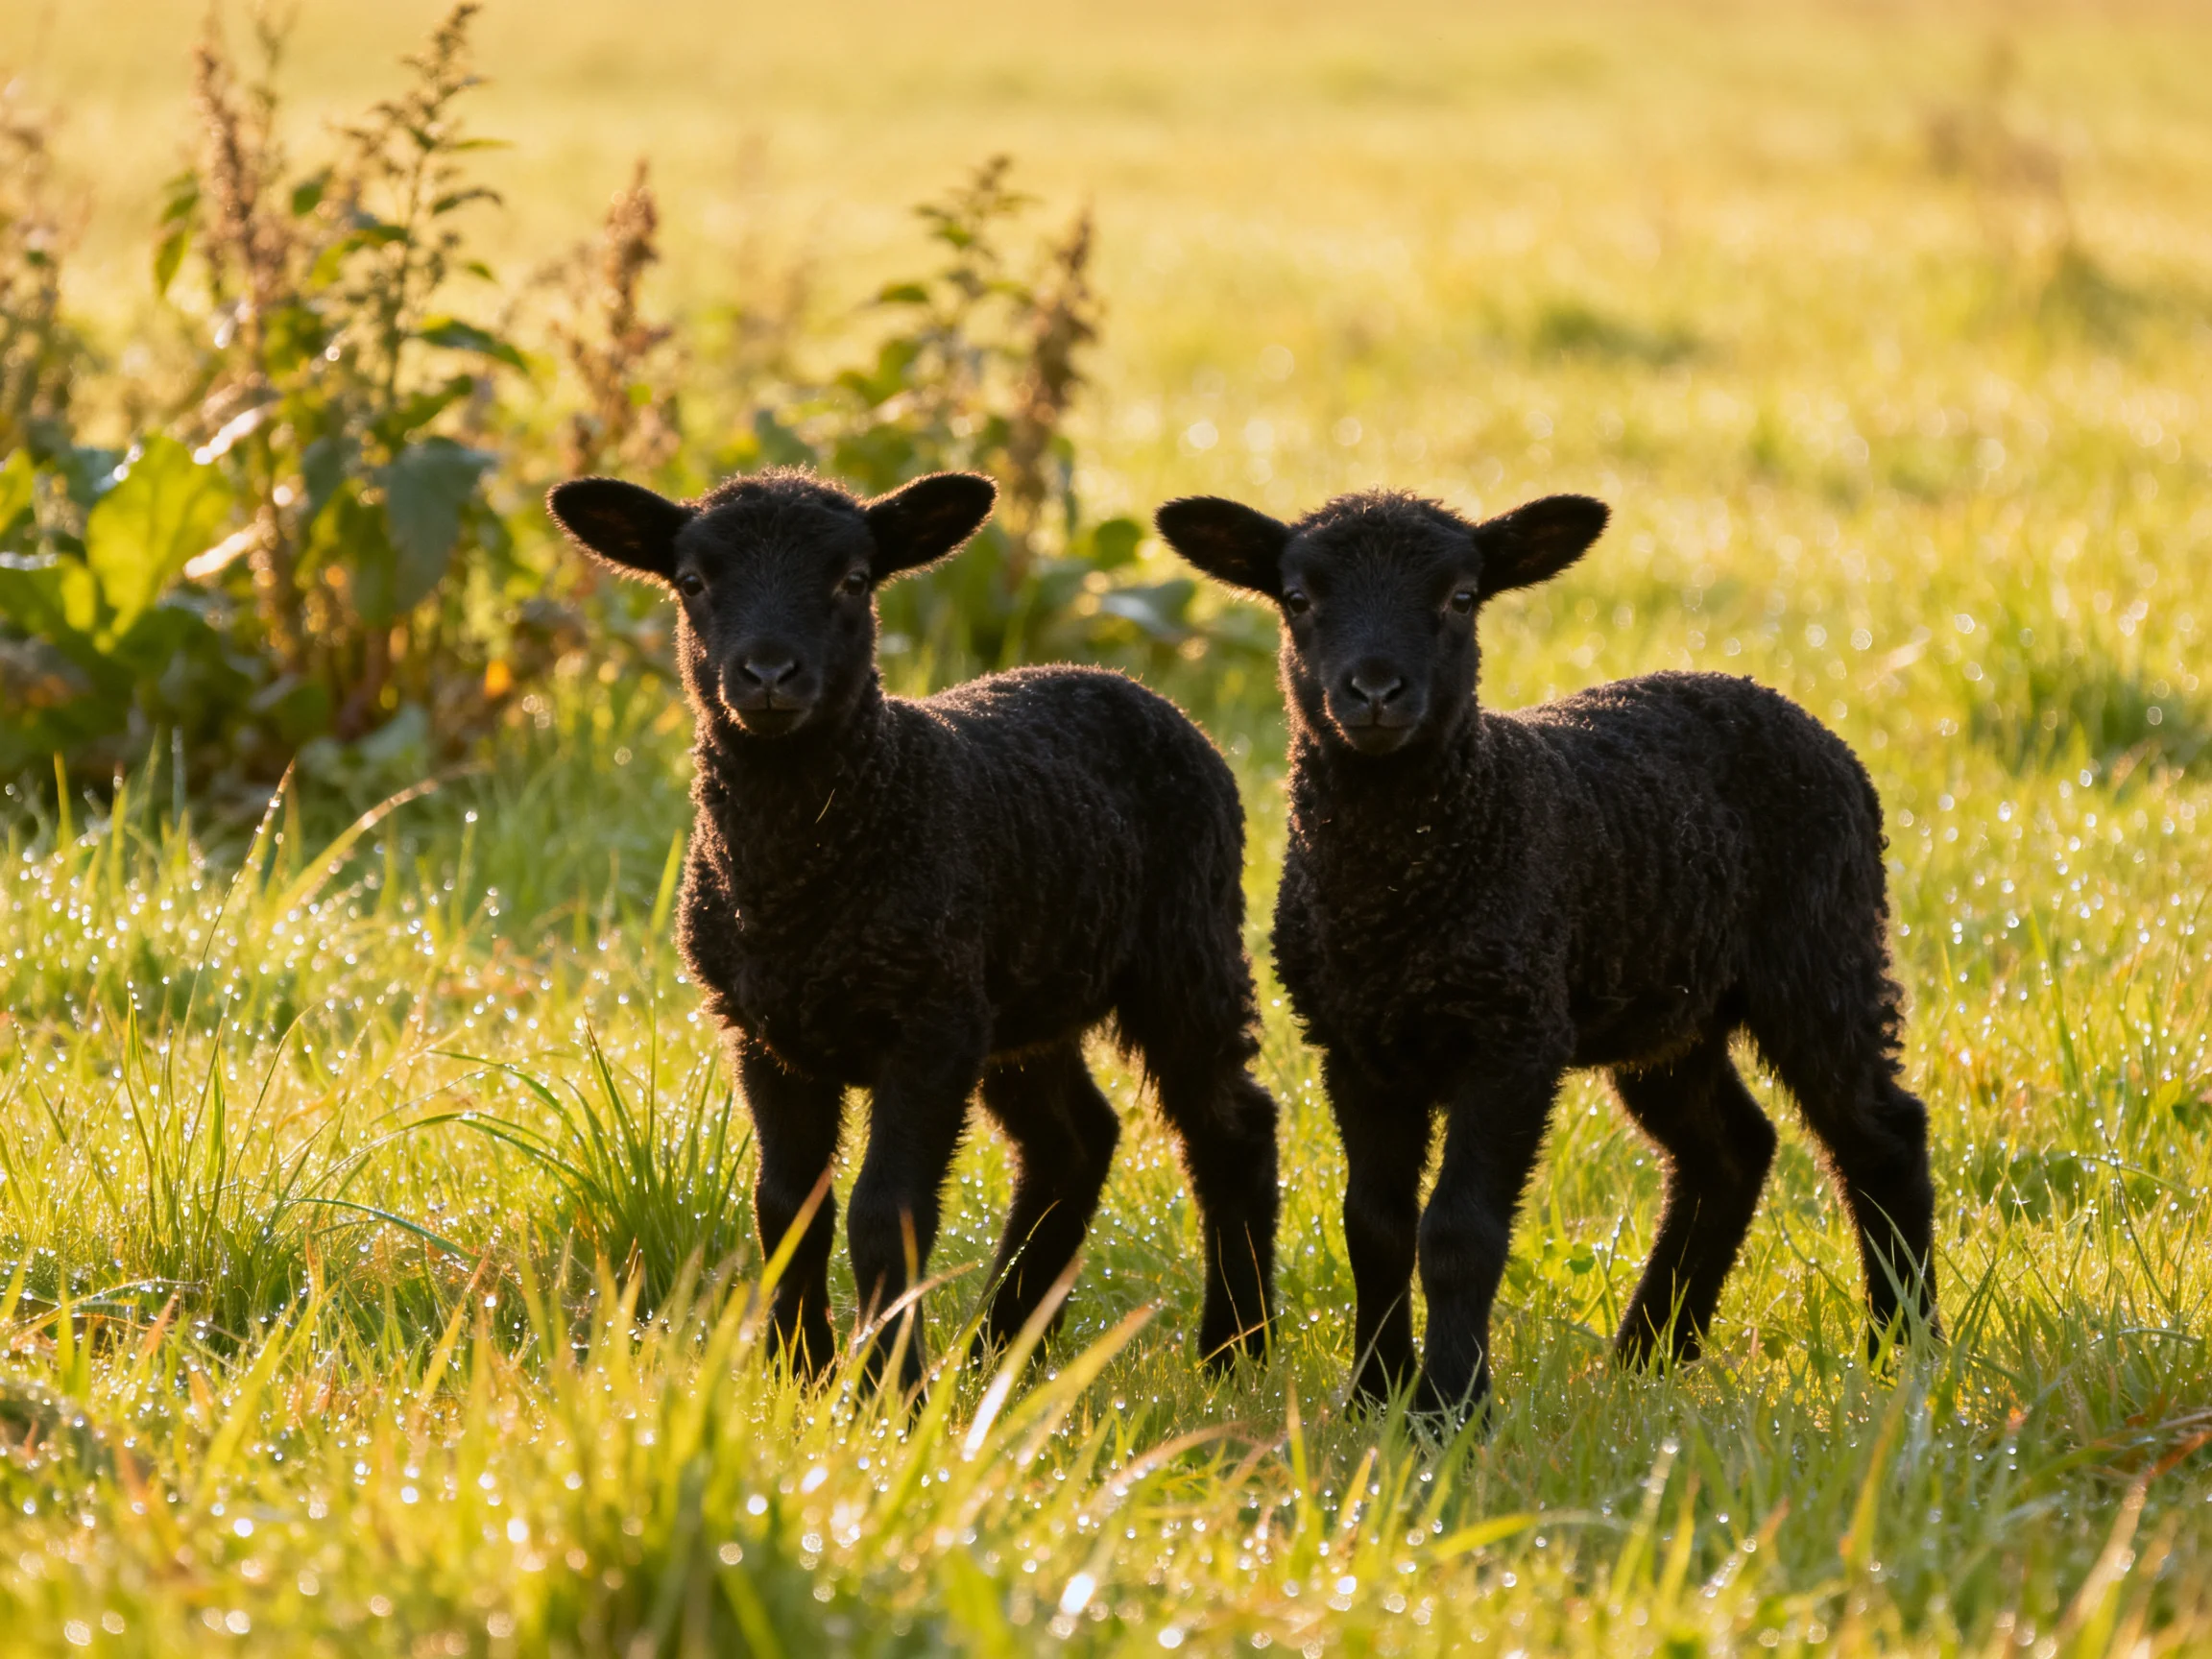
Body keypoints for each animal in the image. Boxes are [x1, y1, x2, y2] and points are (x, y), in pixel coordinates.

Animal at [546, 467, 1279, 1389]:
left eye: (854, 580)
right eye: (692, 582)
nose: (768, 673)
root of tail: (1117, 680)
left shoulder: (928, 1027)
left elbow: (884, 1210)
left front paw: (886, 1385)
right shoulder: (766, 1034)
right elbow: (785, 1206)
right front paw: (799, 1373)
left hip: (1185, 952)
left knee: (1233, 1125)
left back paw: (1234, 1349)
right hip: (1019, 999)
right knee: (1075, 1139)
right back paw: (1003, 1345)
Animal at [1157, 487, 1937, 1416]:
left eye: (1462, 598)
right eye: (1298, 599)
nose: (1375, 690)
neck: (1403, 889)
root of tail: (1777, 701)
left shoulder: (1515, 1037)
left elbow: (1458, 1232)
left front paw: (1449, 1408)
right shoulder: (1355, 1046)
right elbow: (1373, 1225)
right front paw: (1375, 1395)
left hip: (1823, 948)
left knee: (1881, 1133)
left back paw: (1903, 1351)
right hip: (1668, 1009)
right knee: (1730, 1150)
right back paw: (1649, 1356)